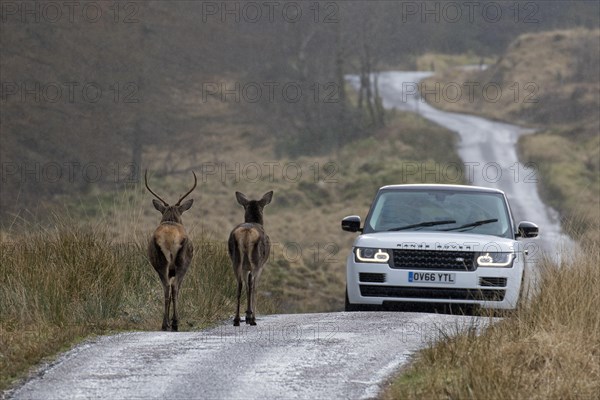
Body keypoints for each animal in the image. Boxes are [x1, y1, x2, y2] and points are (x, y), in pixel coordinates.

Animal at [145, 170, 197, 332]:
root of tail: (169, 239)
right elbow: (178, 289)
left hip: (160, 263)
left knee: (166, 288)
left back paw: (165, 323)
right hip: (181, 262)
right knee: (173, 288)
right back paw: (174, 323)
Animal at [229, 191, 274, 324]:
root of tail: (246, 232)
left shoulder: (245, 268)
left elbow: (246, 285)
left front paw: (247, 315)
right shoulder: (261, 266)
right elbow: (253, 286)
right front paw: (249, 315)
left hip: (236, 261)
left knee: (239, 284)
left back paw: (237, 319)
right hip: (256, 261)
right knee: (253, 285)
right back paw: (253, 319)